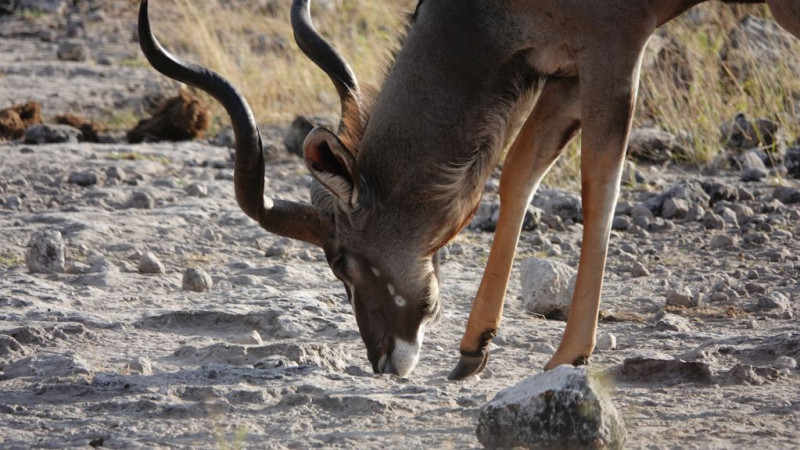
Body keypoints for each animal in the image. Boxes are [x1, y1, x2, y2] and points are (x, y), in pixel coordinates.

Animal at [138, 0, 800, 380]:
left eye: (339, 260)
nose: (384, 360)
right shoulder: (563, 63)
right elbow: (518, 172)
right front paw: (472, 349)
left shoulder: (617, 44)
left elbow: (599, 183)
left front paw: (568, 356)